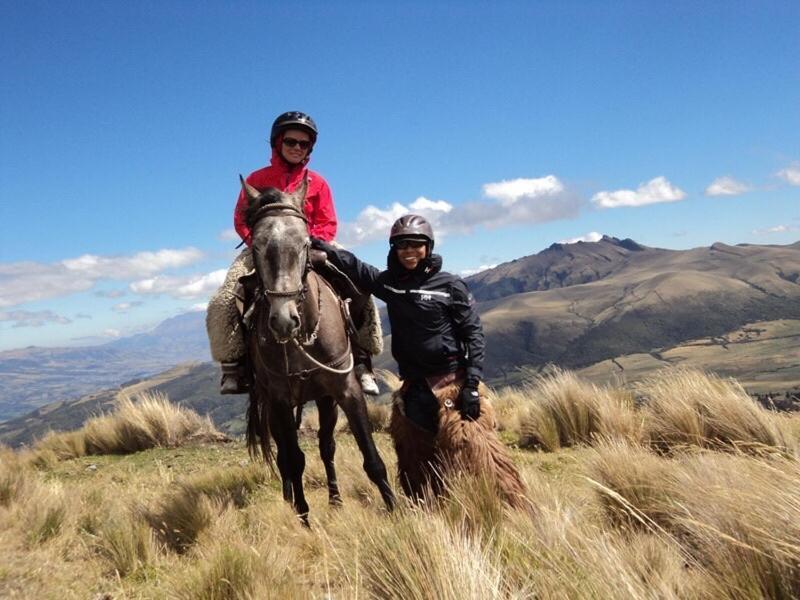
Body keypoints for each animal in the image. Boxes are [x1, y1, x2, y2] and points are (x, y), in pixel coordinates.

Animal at [241, 176, 396, 524]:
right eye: (256, 246)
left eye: (304, 243)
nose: (284, 320)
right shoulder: (281, 399)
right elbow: (294, 459)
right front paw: (304, 519)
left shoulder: (345, 390)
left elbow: (371, 457)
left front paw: (398, 510)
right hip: (273, 405)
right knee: (285, 456)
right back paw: (290, 498)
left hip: (325, 399)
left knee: (327, 446)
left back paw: (335, 500)